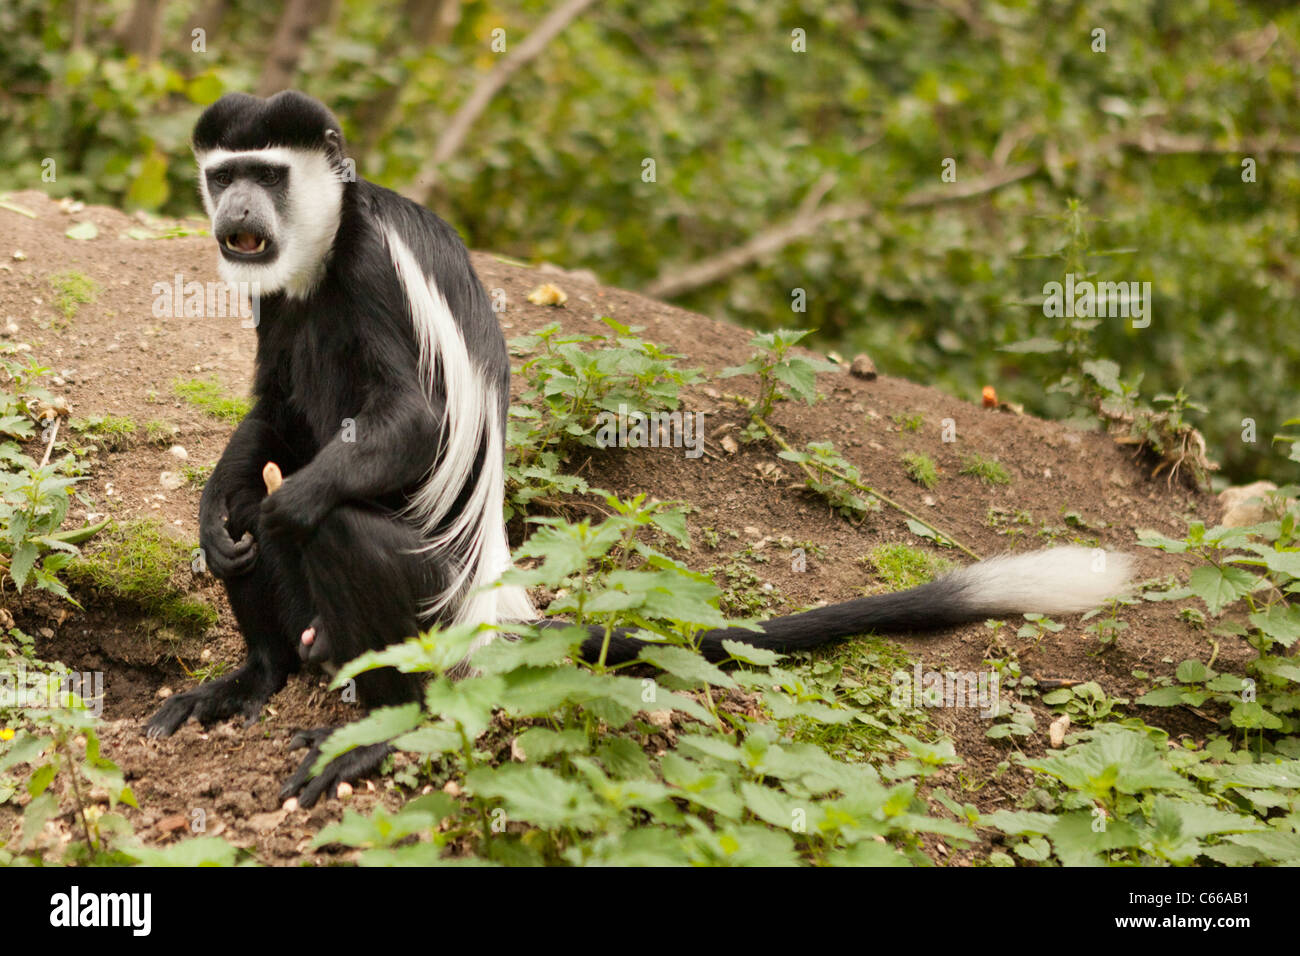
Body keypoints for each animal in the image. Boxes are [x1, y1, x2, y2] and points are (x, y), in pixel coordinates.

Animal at [149, 89, 1128, 806]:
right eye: (225, 174)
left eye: (268, 175)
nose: (236, 208)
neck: (321, 250)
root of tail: (499, 607)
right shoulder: (274, 295)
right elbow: (272, 411)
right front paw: (217, 503)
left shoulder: (372, 265)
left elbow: (411, 425)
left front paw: (290, 505)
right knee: (249, 532)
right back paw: (251, 673)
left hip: (436, 605)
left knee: (345, 533)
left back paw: (370, 730)